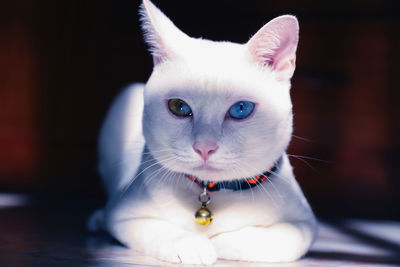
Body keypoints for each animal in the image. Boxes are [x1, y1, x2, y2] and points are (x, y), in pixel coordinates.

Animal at [89, 0, 318, 264]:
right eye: (179, 107)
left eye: (241, 109)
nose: (204, 147)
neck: (211, 192)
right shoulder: (124, 215)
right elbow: (157, 229)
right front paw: (192, 245)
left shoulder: (304, 225)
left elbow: (272, 240)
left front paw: (219, 243)